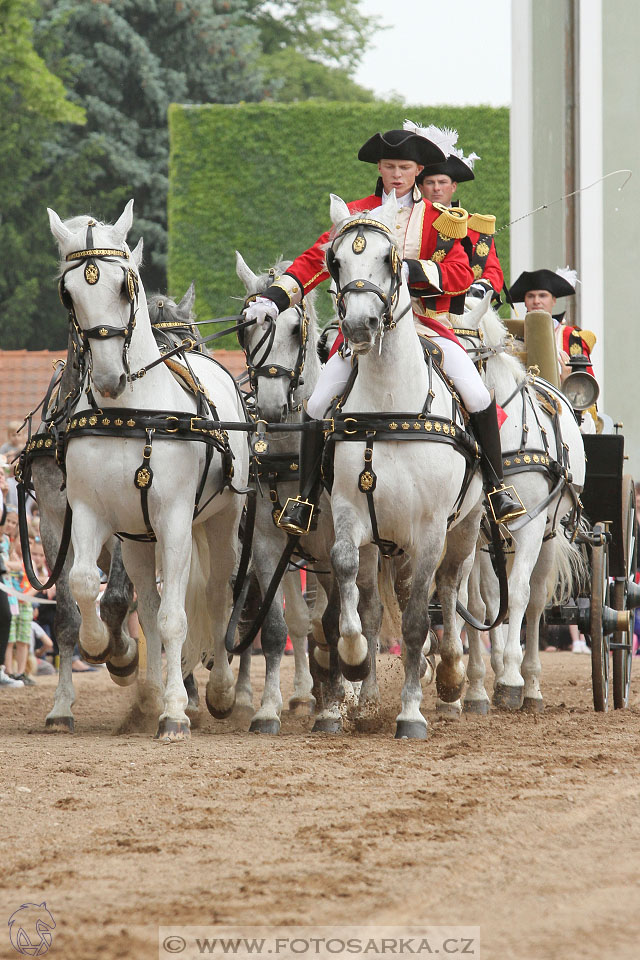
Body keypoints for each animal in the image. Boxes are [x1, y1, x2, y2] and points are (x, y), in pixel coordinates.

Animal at [46, 201, 248, 744]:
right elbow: (82, 584)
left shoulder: (175, 518)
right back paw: (154, 688)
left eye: (124, 284)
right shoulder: (89, 512)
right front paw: (103, 648)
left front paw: (177, 714)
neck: (131, 413)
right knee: (150, 607)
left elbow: (179, 618)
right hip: (137, 539)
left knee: (217, 595)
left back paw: (219, 693)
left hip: (219, 523)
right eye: (68, 293)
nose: (109, 377)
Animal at [328, 191, 482, 740]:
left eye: (389, 260)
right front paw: (354, 663)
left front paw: (412, 712)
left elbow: (418, 620)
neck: (390, 405)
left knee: (450, 589)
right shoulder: (350, 512)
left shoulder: (431, 529)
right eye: (336, 261)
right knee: (377, 605)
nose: (359, 326)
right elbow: (349, 579)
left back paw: (454, 677)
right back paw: (371, 693)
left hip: (464, 530)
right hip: (386, 542)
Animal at [452, 296, 588, 708]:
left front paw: (512, 677)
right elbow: (476, 601)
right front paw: (476, 684)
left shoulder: (529, 526)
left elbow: (520, 594)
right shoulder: (474, 531)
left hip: (548, 534)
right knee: (492, 598)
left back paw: (530, 684)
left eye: (468, 356)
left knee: (535, 599)